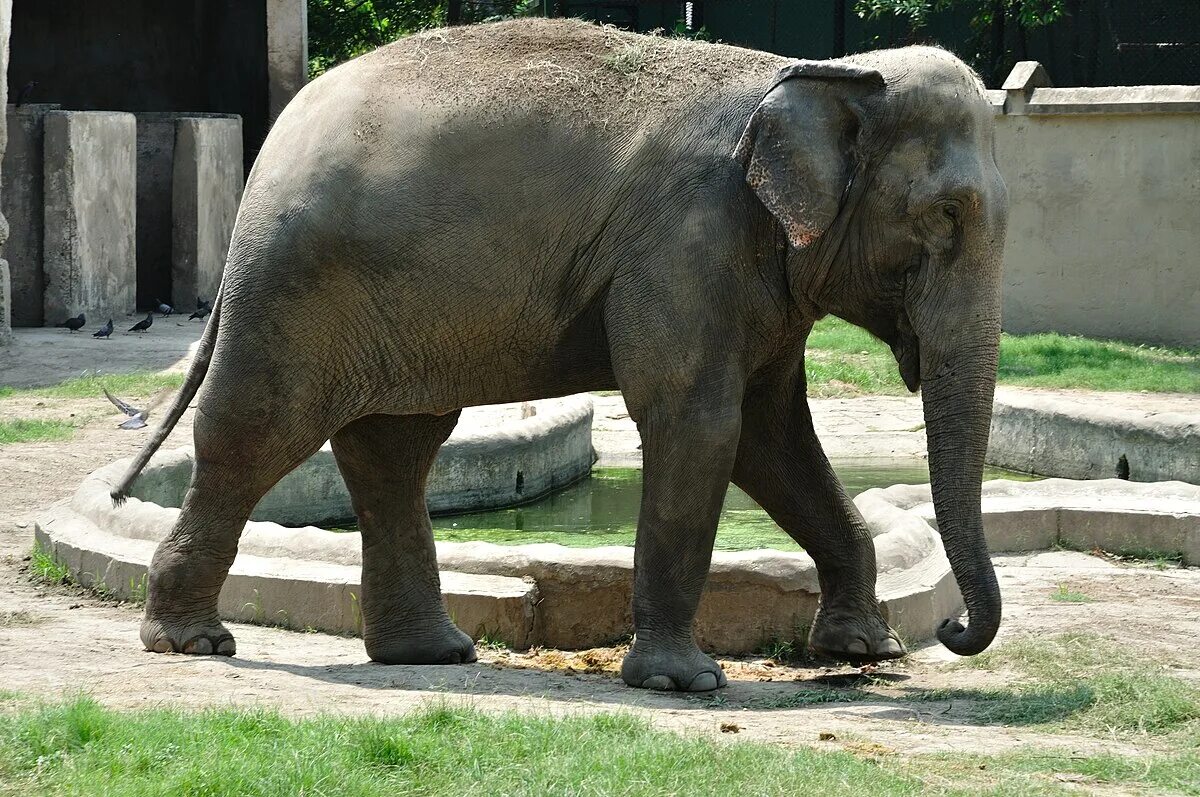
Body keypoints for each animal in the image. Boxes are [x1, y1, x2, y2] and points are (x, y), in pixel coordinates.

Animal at [117, 17, 1008, 691]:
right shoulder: (687, 243)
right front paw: (685, 681)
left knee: (395, 447)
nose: (955, 626)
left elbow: (773, 437)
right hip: (294, 285)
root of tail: (268, 153)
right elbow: (700, 423)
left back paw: (430, 652)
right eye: (943, 217)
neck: (815, 77)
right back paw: (193, 642)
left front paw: (863, 649)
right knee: (257, 431)